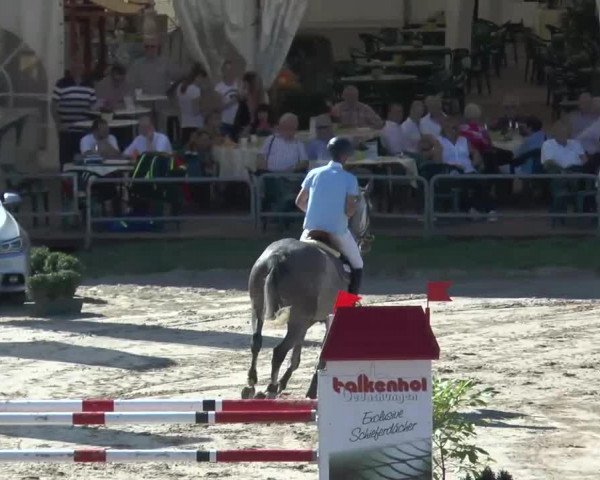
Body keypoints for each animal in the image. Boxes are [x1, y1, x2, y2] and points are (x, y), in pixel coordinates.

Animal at [243, 182, 372, 400]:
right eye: (369, 208)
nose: (368, 239)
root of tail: (278, 257)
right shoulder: (327, 318)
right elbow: (321, 354)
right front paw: (311, 388)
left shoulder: (308, 322)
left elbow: (296, 355)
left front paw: (285, 382)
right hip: (296, 319)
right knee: (278, 351)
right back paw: (270, 388)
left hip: (258, 309)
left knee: (256, 342)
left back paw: (252, 385)